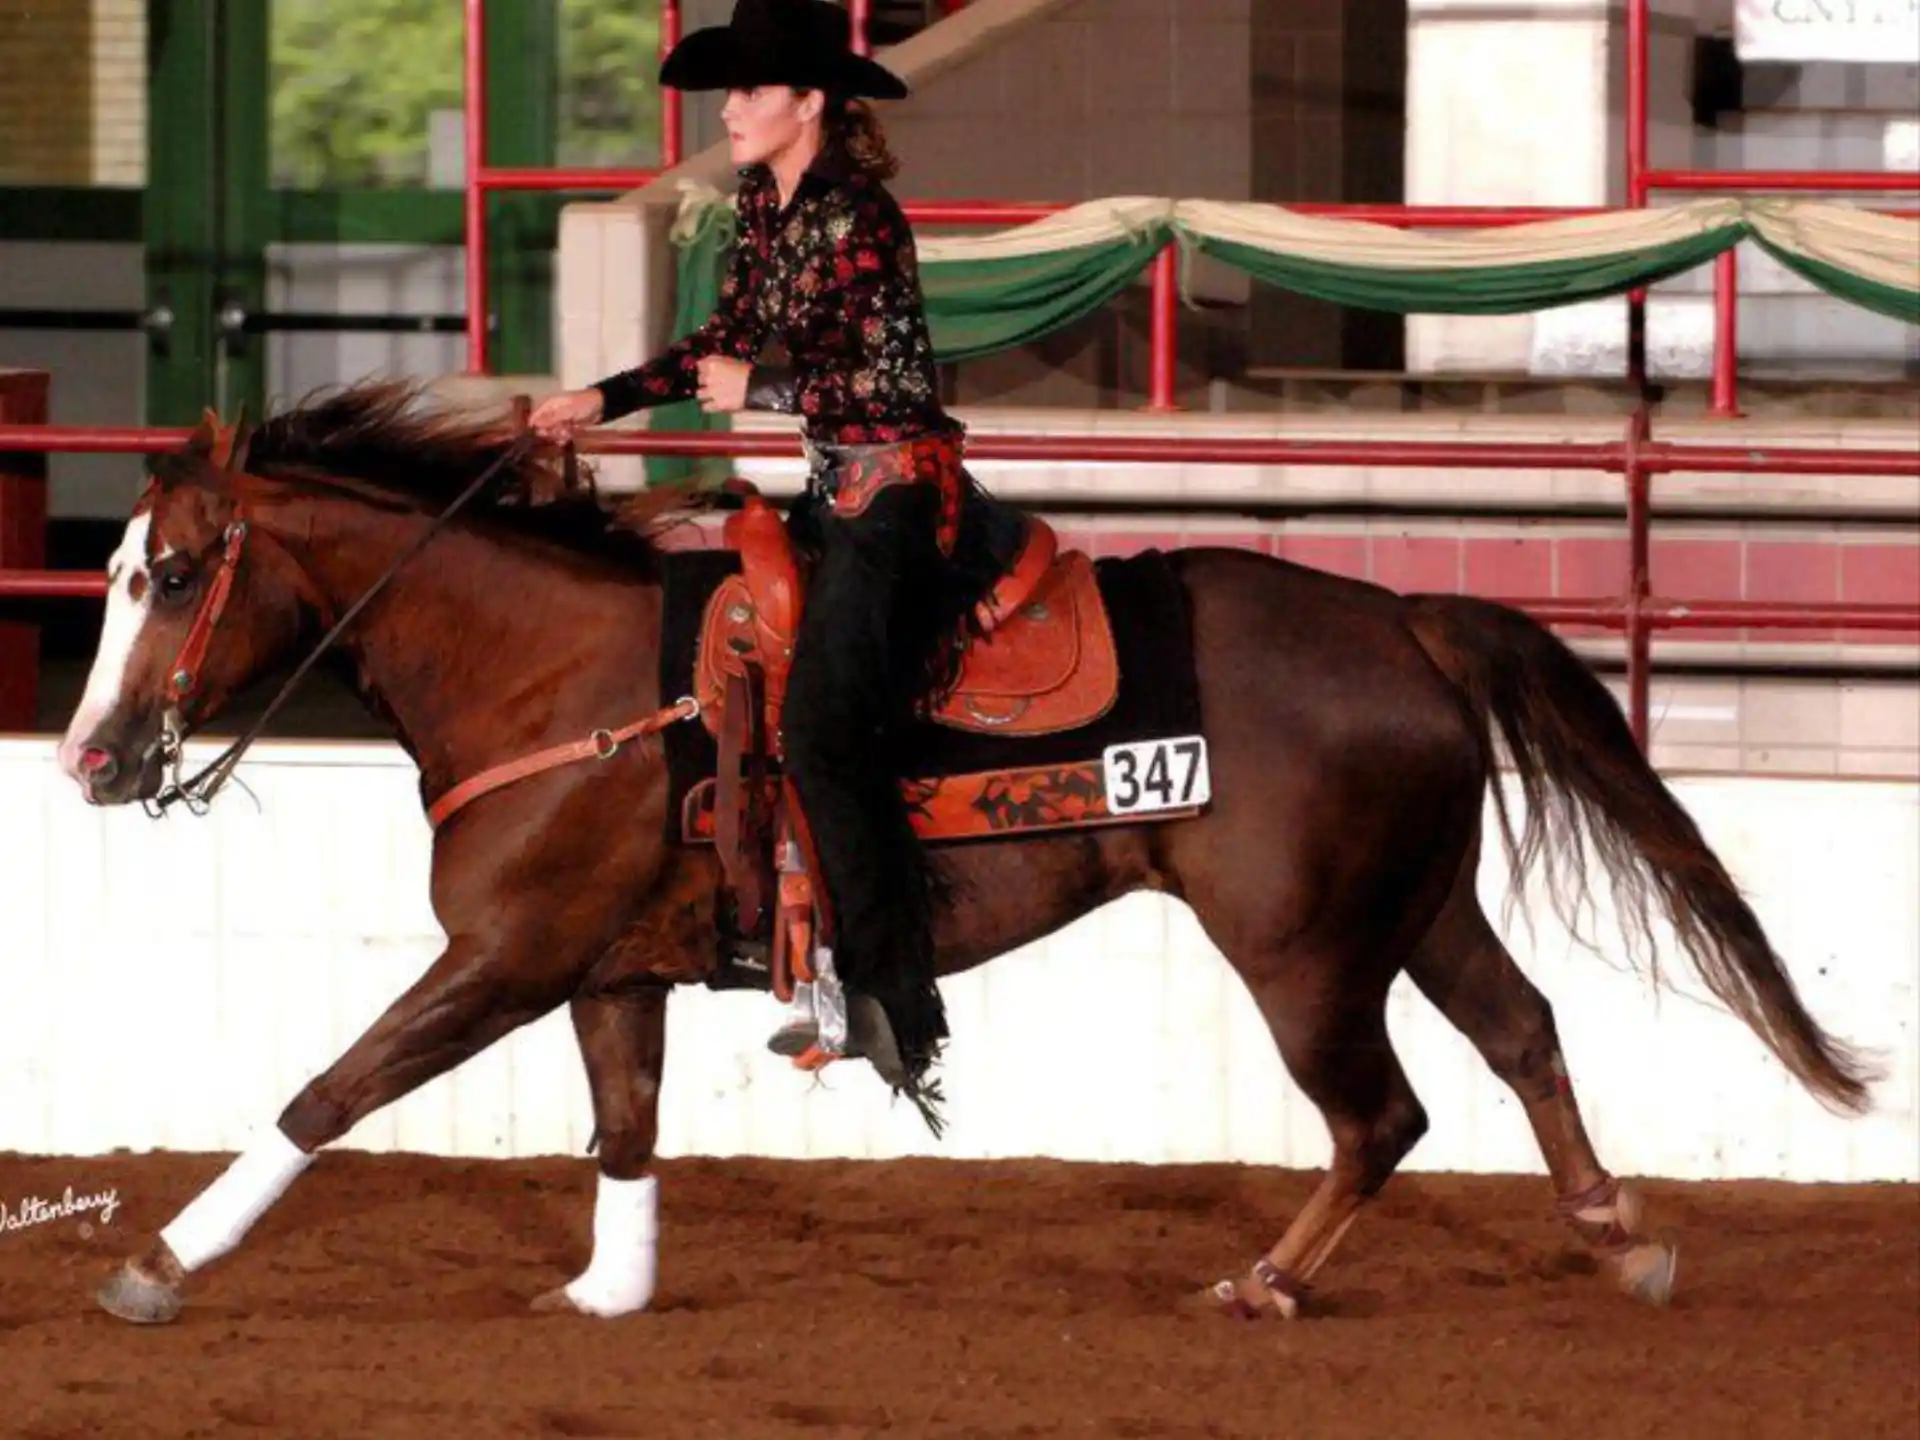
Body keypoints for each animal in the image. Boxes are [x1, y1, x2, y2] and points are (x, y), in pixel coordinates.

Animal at [51, 378, 1874, 1326]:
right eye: (121, 566)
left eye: (174, 570)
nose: (88, 758)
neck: (559, 677)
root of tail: (1406, 620)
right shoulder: (604, 973)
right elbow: (623, 1135)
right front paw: (609, 1300)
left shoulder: (502, 961)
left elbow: (326, 1094)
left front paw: (157, 1265)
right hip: (1416, 908)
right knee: (1523, 1038)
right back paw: (1621, 1237)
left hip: (1301, 949)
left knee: (1385, 1114)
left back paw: (1262, 1286)